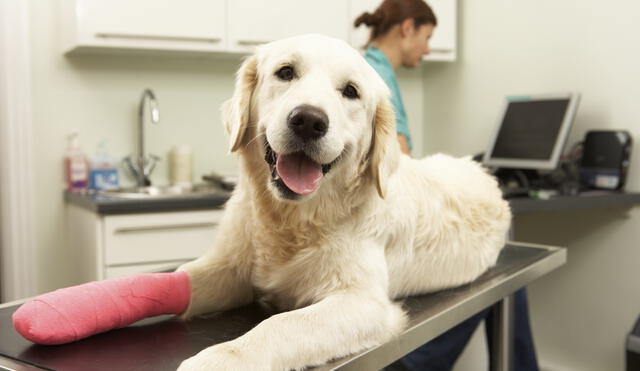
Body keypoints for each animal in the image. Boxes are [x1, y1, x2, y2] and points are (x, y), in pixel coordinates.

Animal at [176, 33, 510, 370]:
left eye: (351, 91)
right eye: (286, 72)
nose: (308, 120)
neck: (294, 219)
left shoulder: (364, 302)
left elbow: (282, 324)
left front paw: (221, 358)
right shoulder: (230, 268)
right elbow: (184, 278)